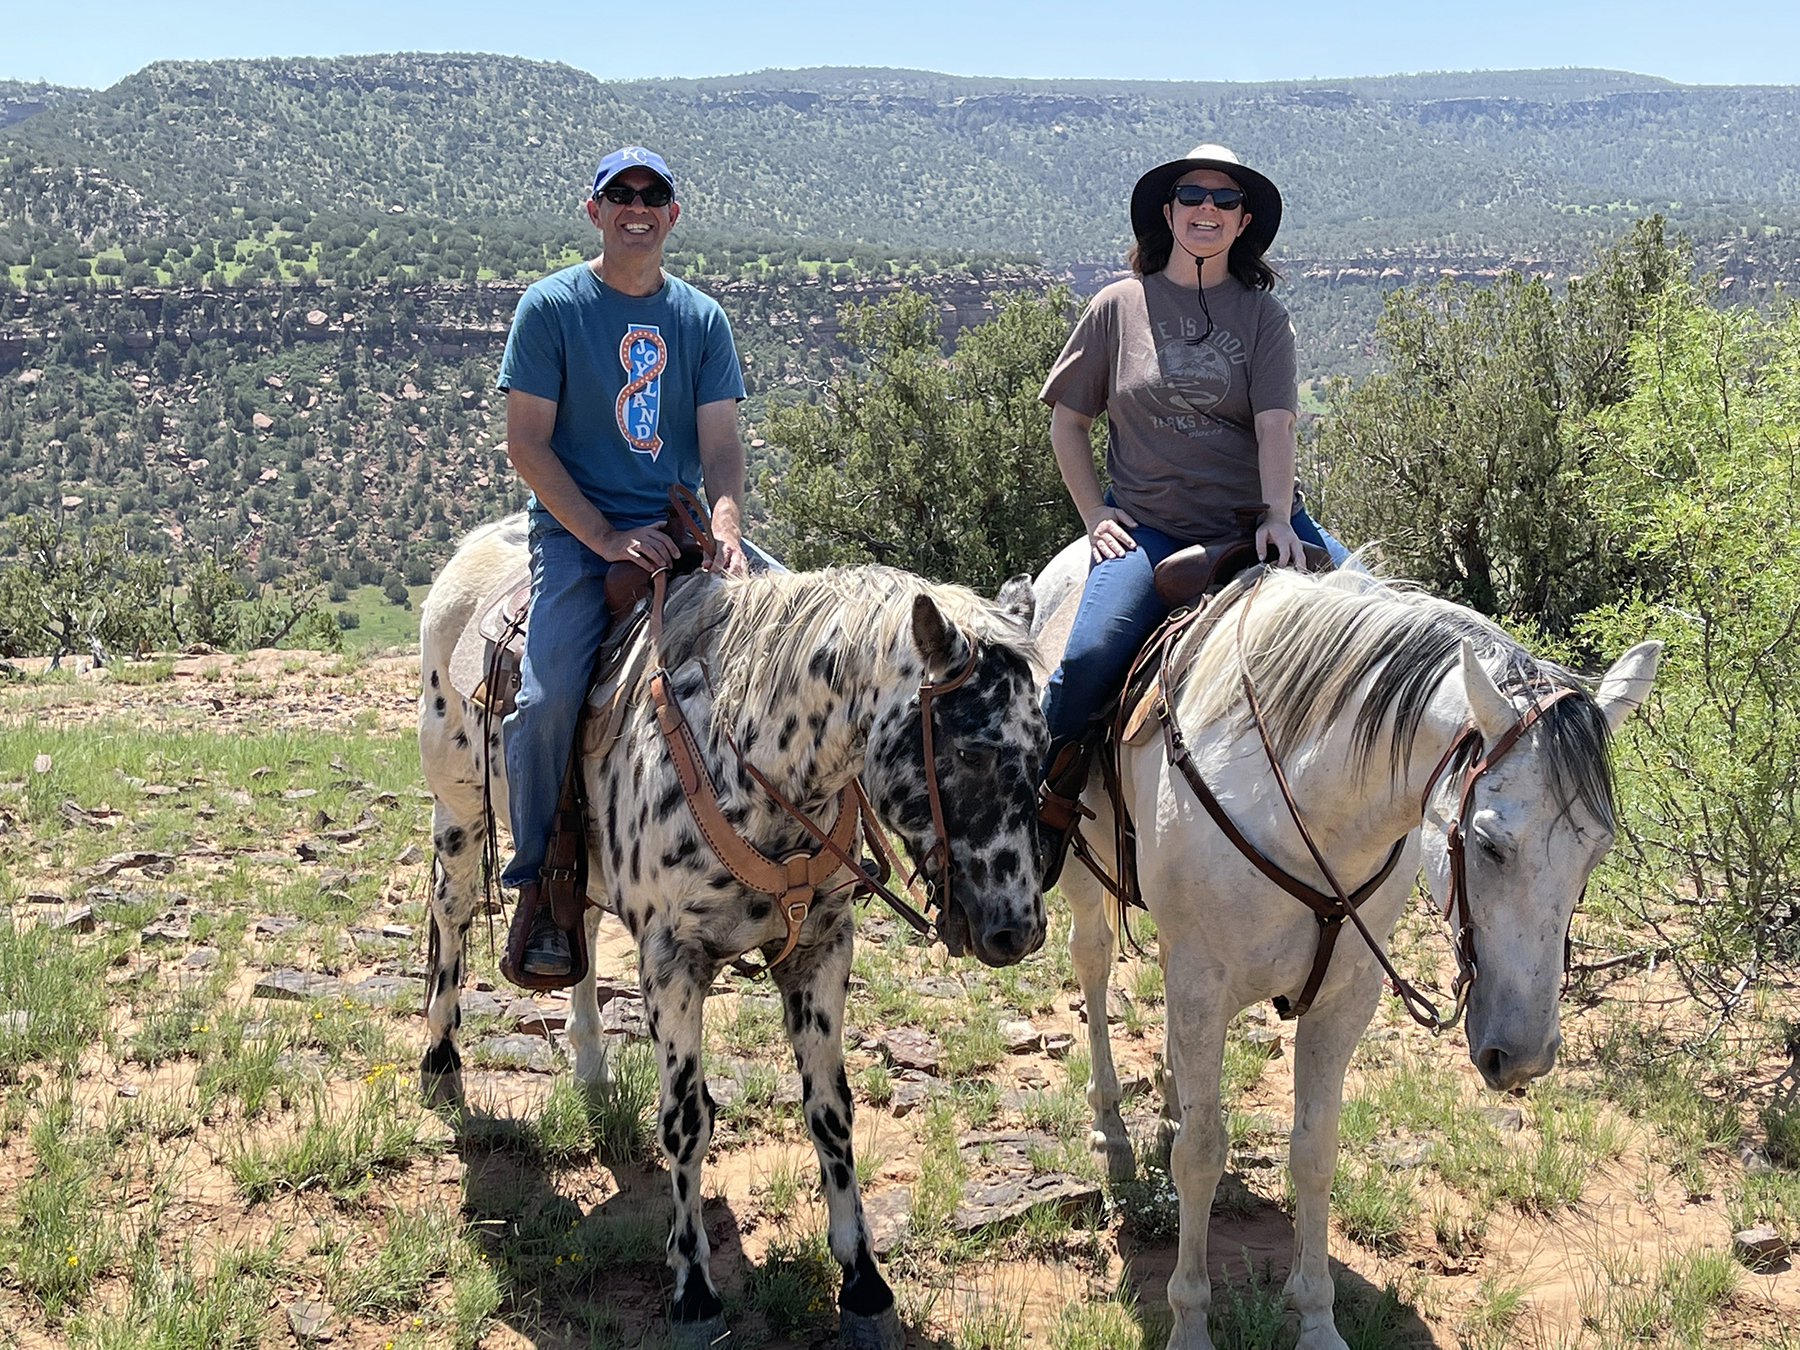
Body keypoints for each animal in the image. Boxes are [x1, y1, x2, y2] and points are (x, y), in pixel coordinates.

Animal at [414, 511, 1051, 1346]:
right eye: (970, 750)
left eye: (1045, 750)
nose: (1019, 931)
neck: (755, 763)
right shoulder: (671, 962)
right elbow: (686, 1120)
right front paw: (692, 1290)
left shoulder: (820, 948)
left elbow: (831, 1112)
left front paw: (863, 1283)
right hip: (458, 814)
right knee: (449, 914)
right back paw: (440, 1058)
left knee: (575, 922)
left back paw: (590, 1065)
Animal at [1029, 550, 1656, 1350]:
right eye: (1488, 843)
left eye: (1597, 851)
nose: (1525, 1058)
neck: (1302, 797)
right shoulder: (1204, 981)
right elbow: (1201, 1156)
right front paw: (1191, 1320)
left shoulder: (1345, 995)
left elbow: (1315, 1151)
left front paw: (1317, 1317)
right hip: (1087, 876)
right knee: (1094, 962)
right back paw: (1110, 1128)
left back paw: (1168, 1099)